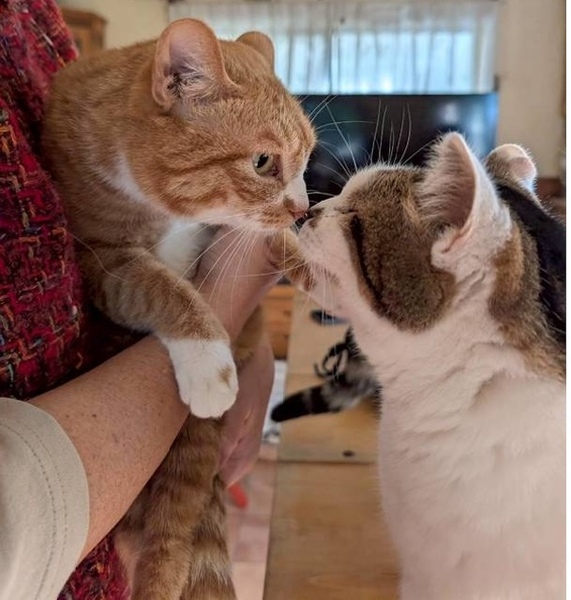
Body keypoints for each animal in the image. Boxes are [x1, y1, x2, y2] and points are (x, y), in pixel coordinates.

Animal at [42, 18, 315, 600]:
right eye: (263, 162)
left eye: (307, 160)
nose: (304, 208)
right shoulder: (105, 260)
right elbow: (165, 289)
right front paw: (209, 362)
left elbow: (270, 237)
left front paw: (313, 259)